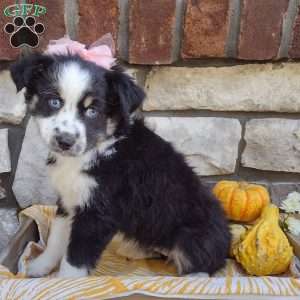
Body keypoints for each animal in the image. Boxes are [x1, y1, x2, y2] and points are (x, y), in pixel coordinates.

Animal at [9, 52, 230, 278]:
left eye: (92, 111)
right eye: (54, 101)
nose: (65, 141)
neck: (93, 151)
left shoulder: (98, 212)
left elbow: (75, 260)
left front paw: (66, 281)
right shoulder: (69, 200)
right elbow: (55, 239)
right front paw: (38, 267)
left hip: (194, 234)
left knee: (203, 263)